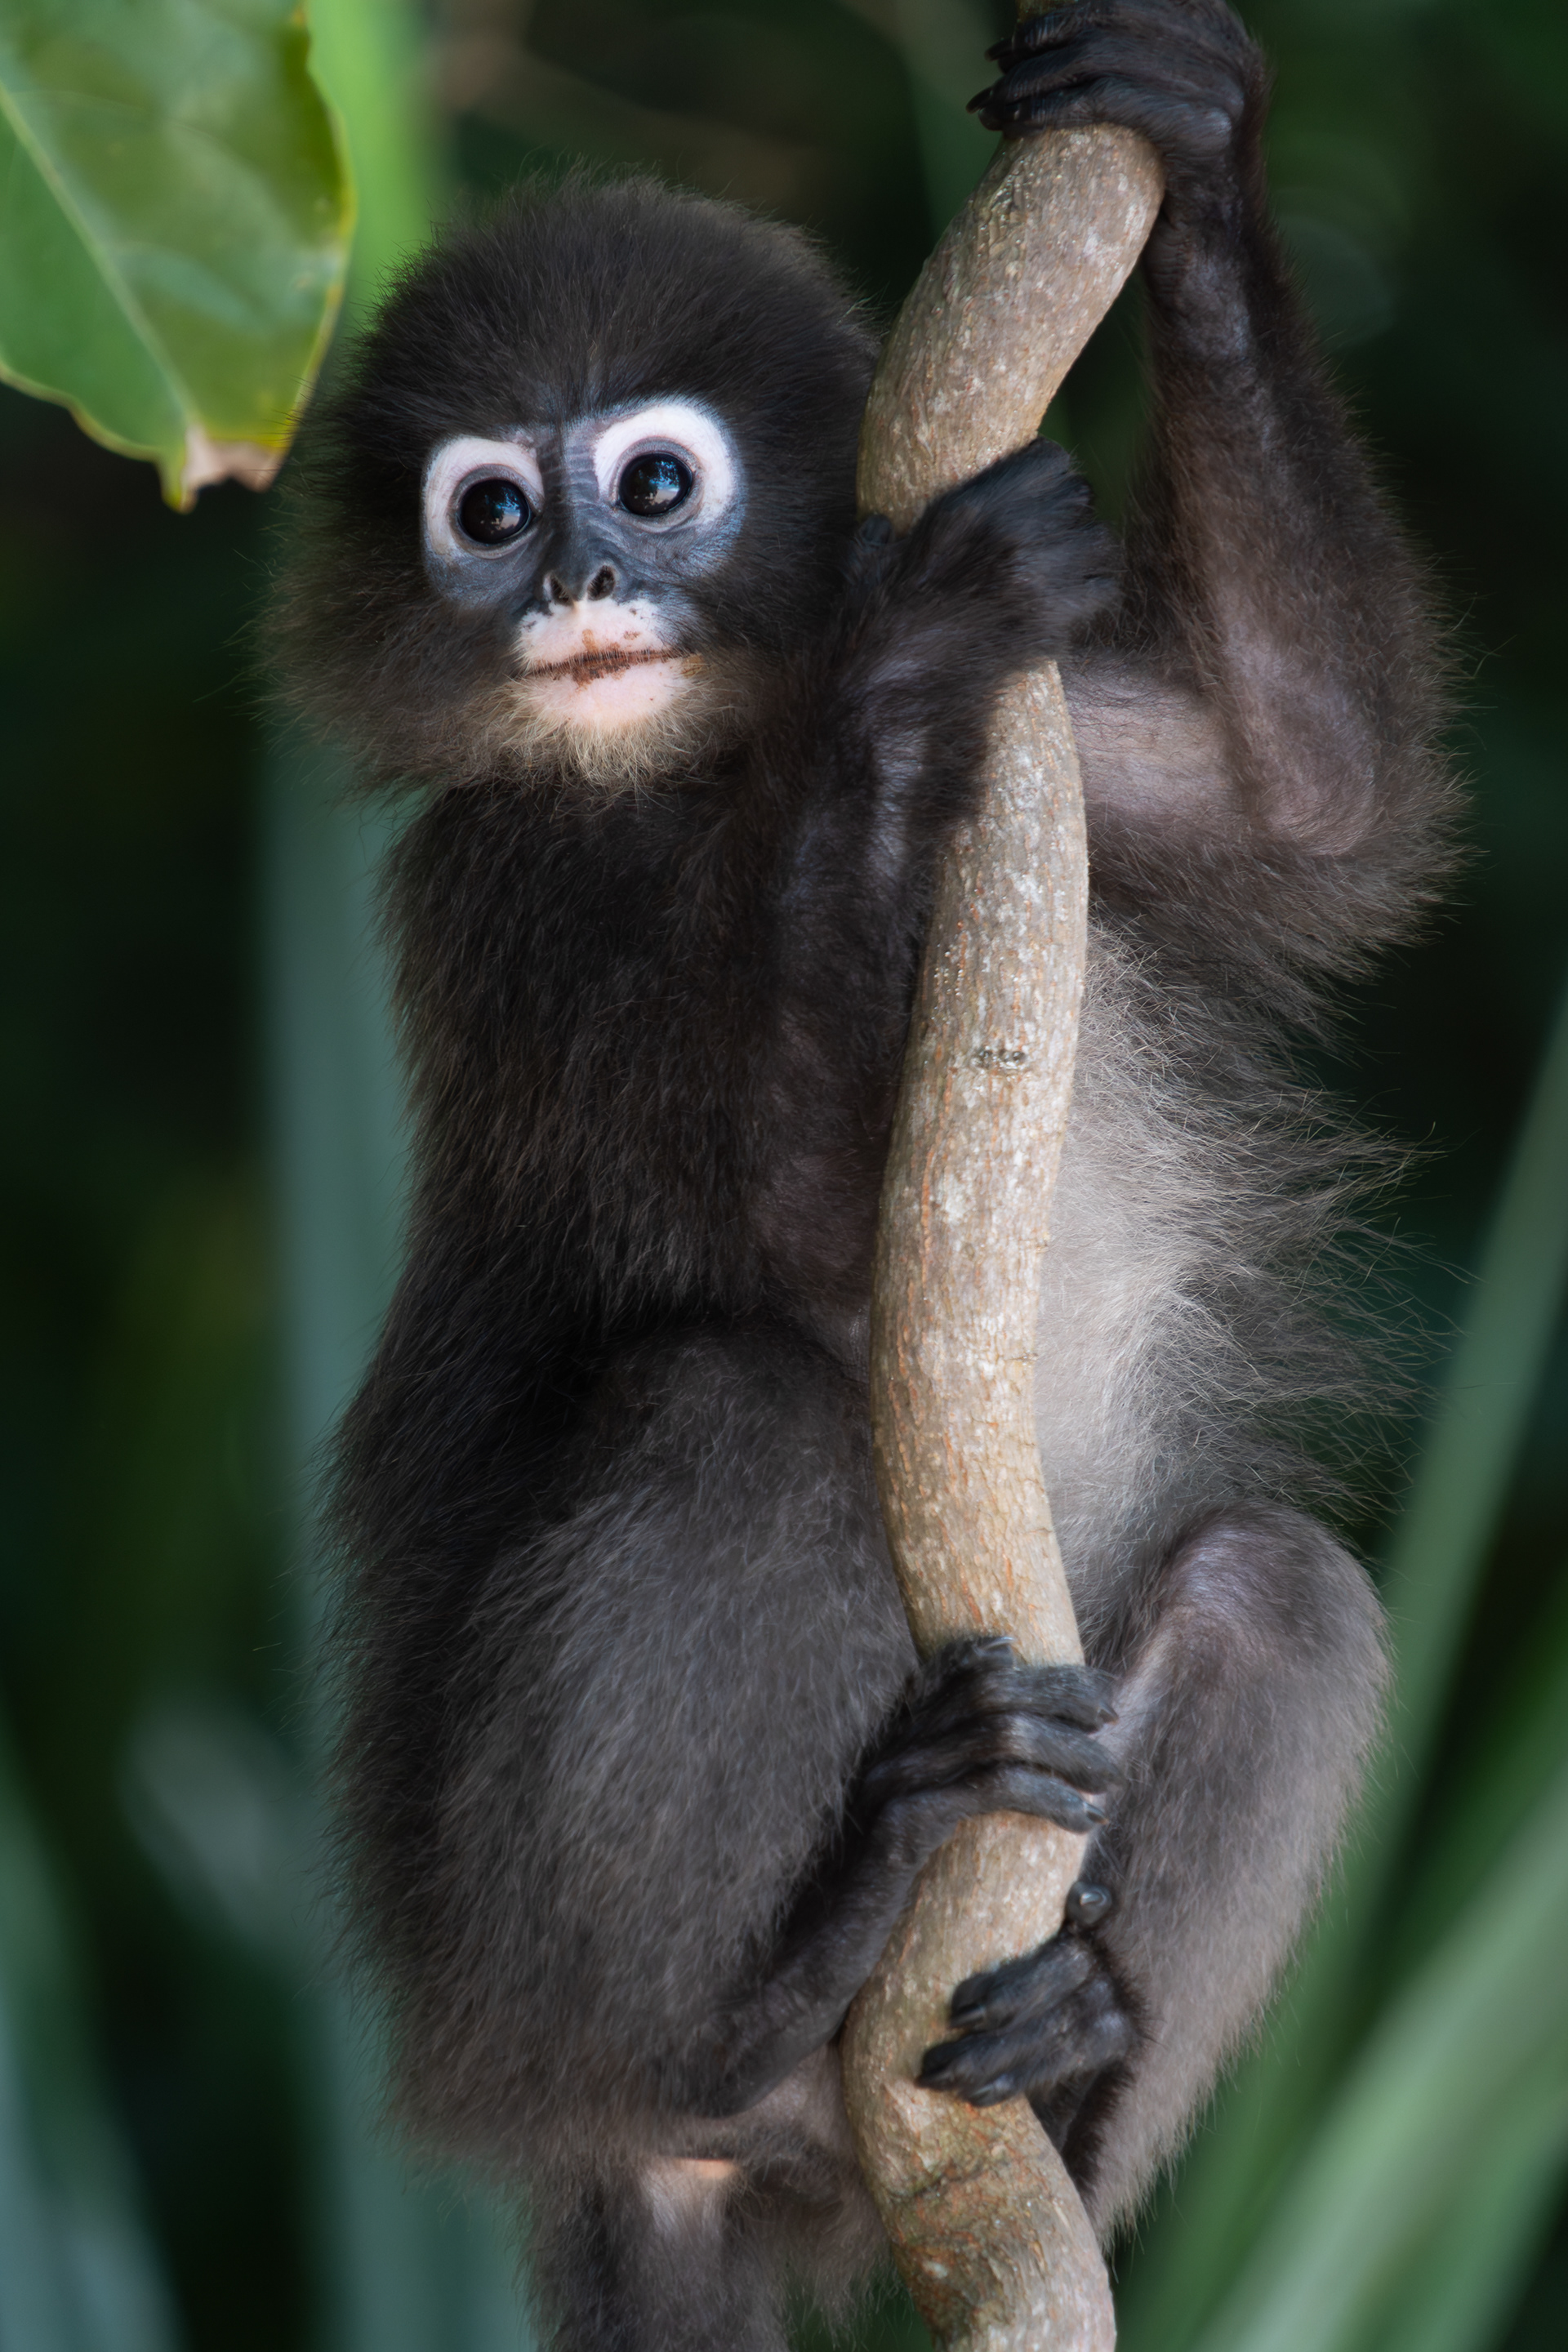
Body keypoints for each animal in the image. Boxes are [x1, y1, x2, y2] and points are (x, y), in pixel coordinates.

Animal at [277, 3, 1453, 2345]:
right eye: (486, 512)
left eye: (653, 483)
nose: (580, 587)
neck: (701, 760)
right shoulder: (492, 896)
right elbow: (803, 1247)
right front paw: (905, 659)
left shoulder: (1074, 748)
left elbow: (1311, 787)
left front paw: (1195, 147)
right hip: (510, 1979)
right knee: (746, 1413)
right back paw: (723, 2025)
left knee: (1277, 1592)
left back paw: (1067, 2061)